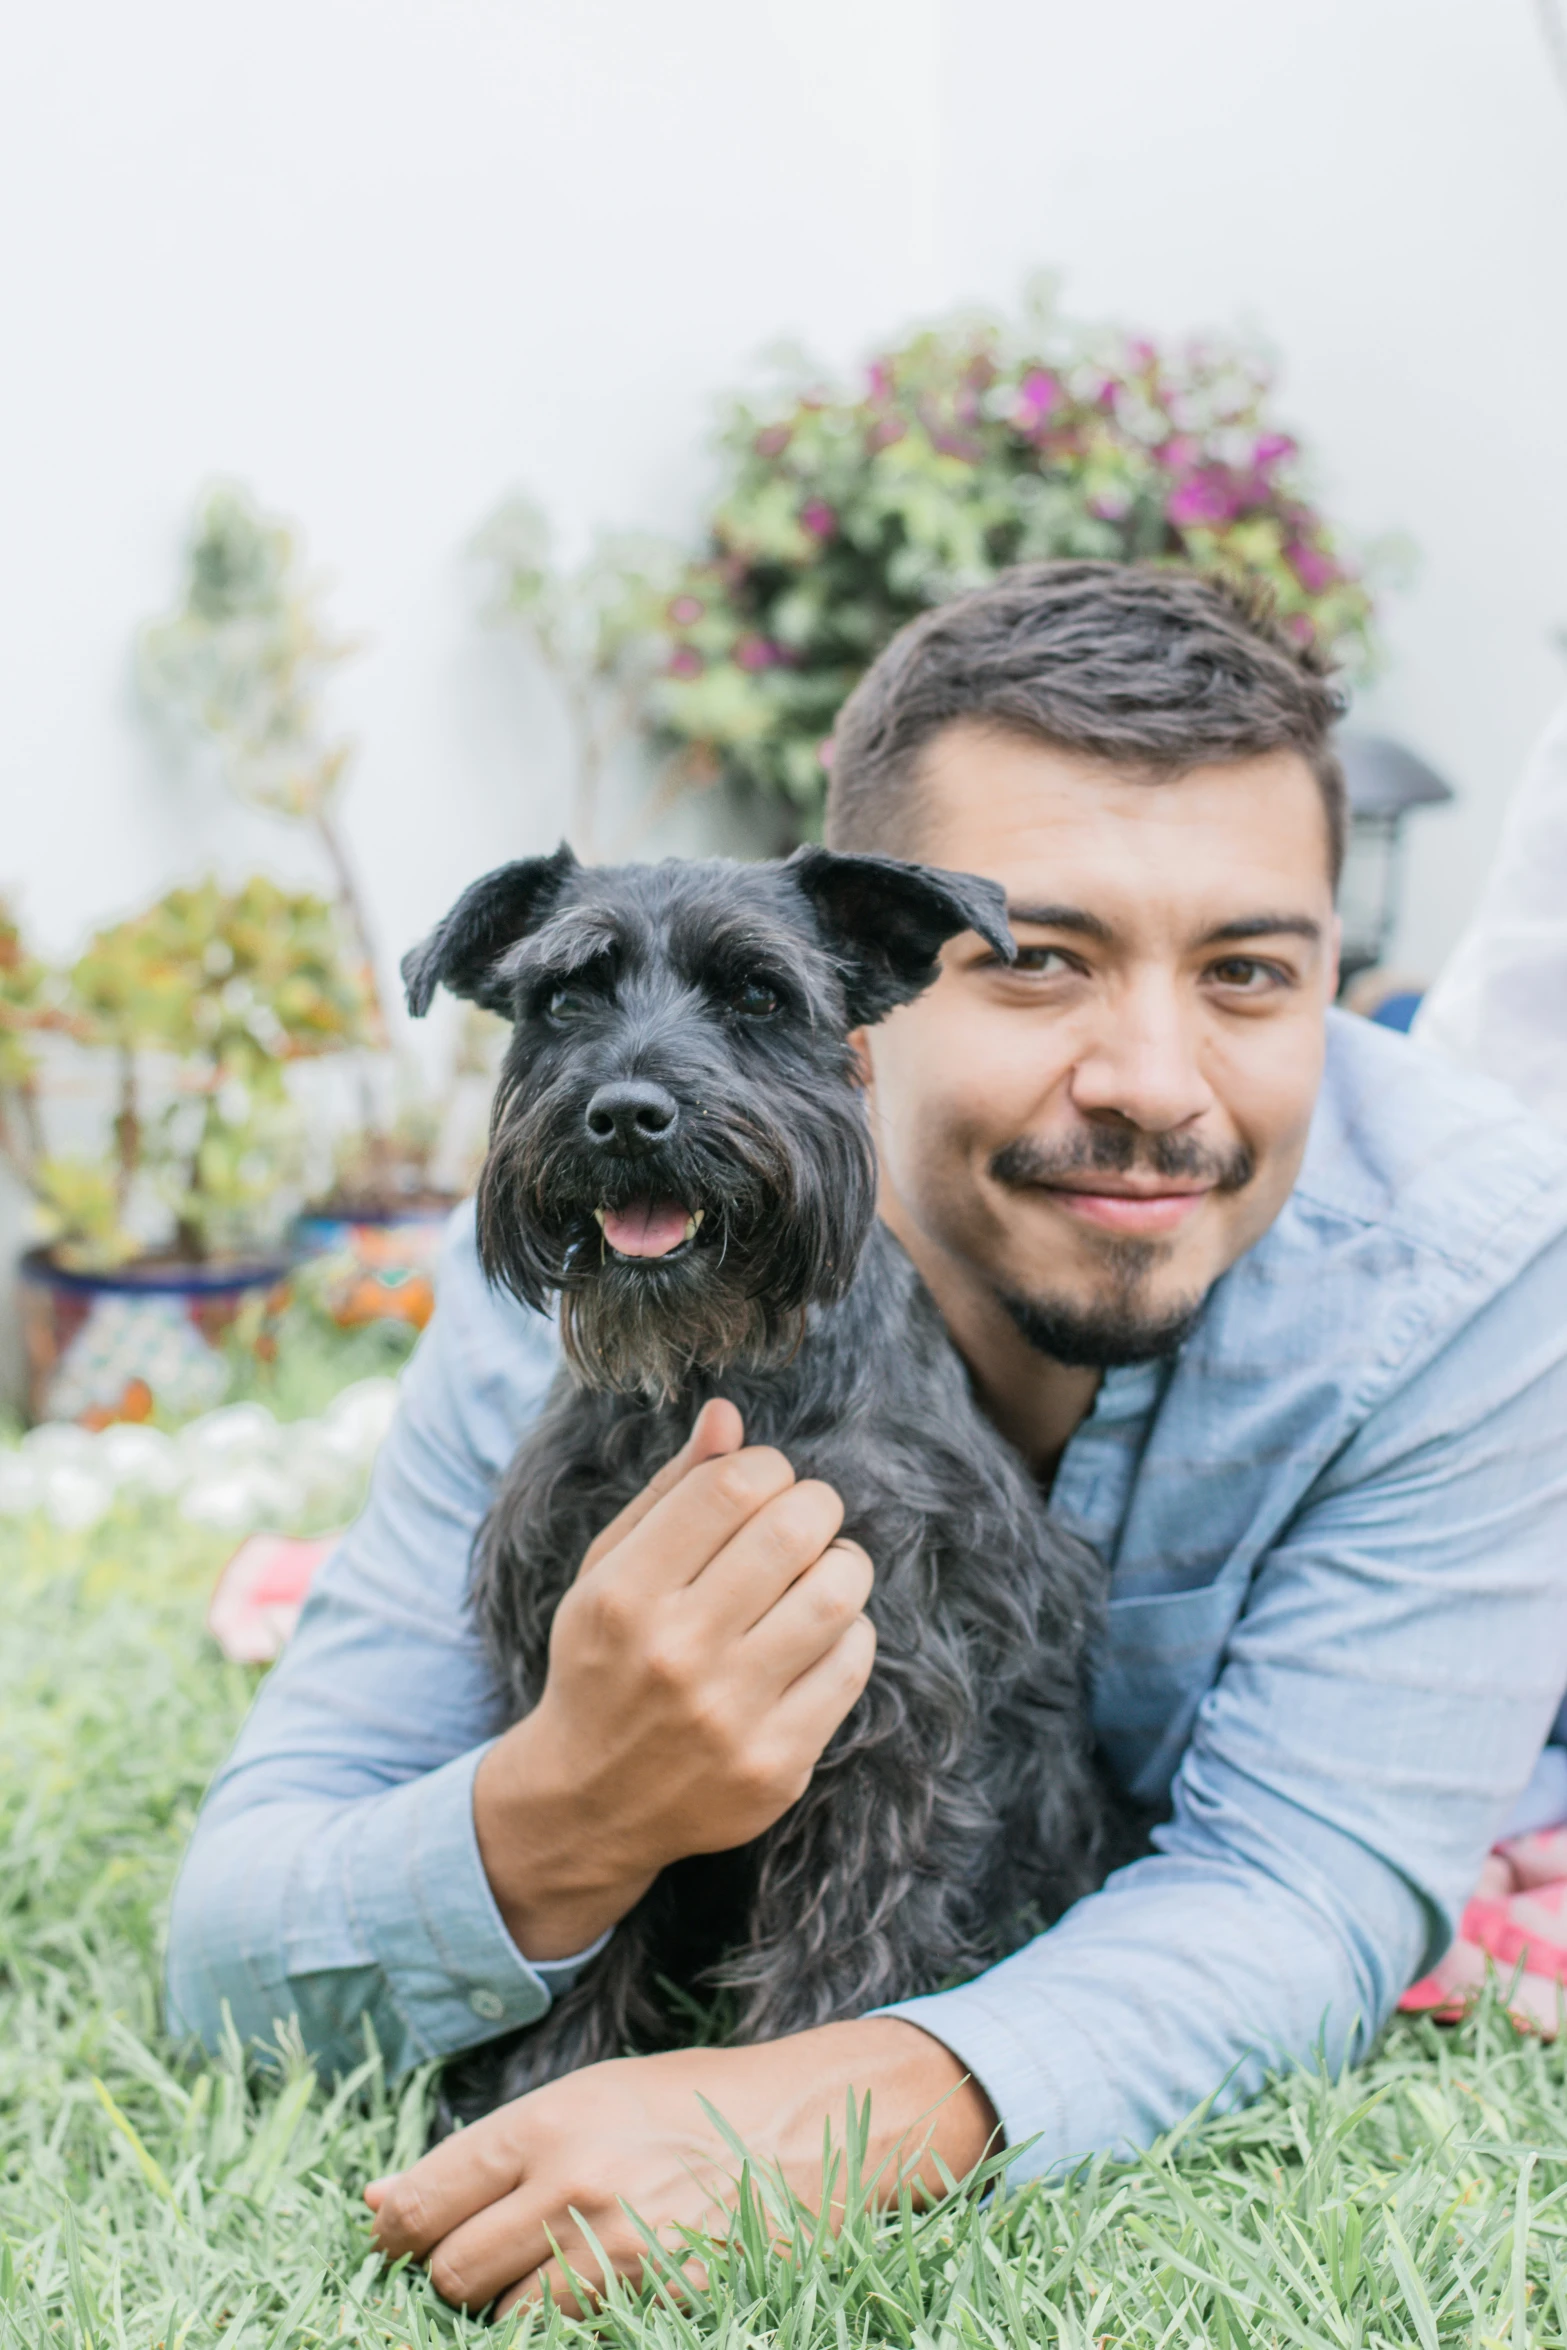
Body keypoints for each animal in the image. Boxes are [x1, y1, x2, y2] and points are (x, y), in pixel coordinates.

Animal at [404, 845, 1127, 2115]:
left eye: (757, 995)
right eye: (562, 997)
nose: (627, 1113)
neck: (707, 1380)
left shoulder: (889, 1717)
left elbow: (844, 1939)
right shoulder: (563, 1679)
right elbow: (591, 1900)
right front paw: (547, 2080)